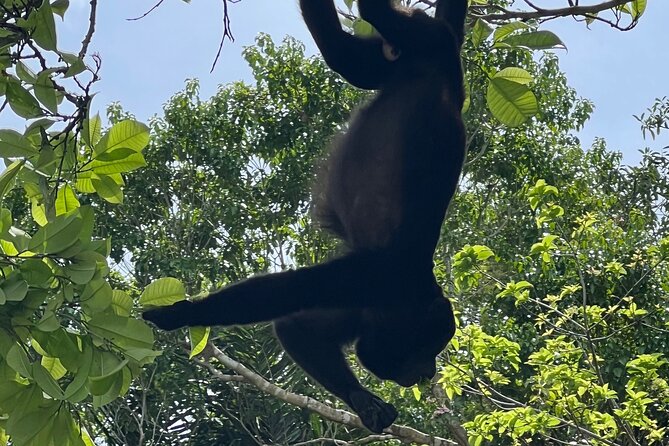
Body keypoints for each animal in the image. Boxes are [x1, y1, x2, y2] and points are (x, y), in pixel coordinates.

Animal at [143, 0, 467, 433]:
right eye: (424, 348)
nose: (426, 373)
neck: (410, 292)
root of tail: (452, 65)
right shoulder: (367, 278)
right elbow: (282, 295)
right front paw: (179, 314)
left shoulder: (362, 309)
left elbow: (294, 328)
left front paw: (365, 402)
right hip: (427, 40)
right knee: (371, 16)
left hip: (405, 55)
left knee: (346, 60)